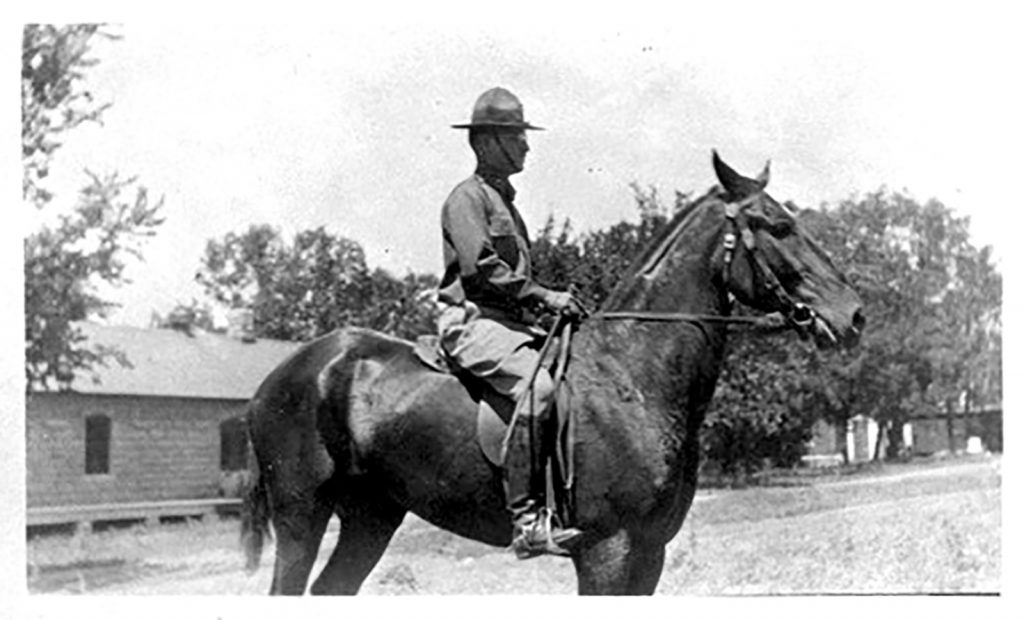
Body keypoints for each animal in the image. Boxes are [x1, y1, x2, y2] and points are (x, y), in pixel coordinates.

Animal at [239, 150, 864, 594]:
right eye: (775, 225)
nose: (853, 314)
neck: (633, 375)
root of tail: (278, 379)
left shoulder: (650, 552)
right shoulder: (609, 549)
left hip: (372, 516)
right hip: (301, 516)